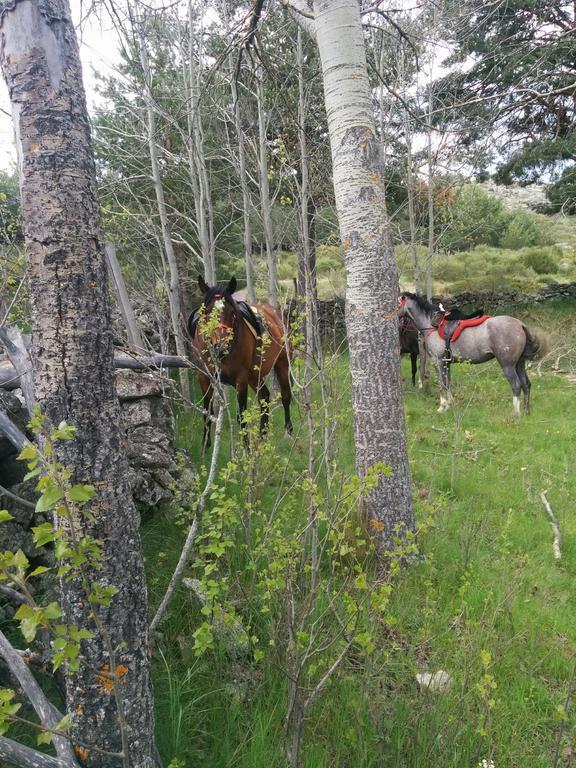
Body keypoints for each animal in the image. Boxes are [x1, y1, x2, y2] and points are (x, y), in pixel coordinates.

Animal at [189, 276, 292, 448]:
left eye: (232, 312)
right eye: (207, 312)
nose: (221, 345)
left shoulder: (241, 379)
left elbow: (241, 416)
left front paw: (246, 448)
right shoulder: (203, 377)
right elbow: (207, 411)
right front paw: (205, 445)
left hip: (282, 364)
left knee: (285, 396)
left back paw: (288, 432)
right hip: (255, 376)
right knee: (264, 397)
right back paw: (262, 436)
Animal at [400, 292, 544, 414]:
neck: (432, 325)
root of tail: (520, 325)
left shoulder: (438, 361)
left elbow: (441, 383)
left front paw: (442, 406)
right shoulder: (447, 363)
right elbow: (448, 382)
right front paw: (450, 403)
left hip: (507, 365)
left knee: (516, 385)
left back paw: (515, 414)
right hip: (519, 363)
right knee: (526, 384)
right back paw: (526, 412)